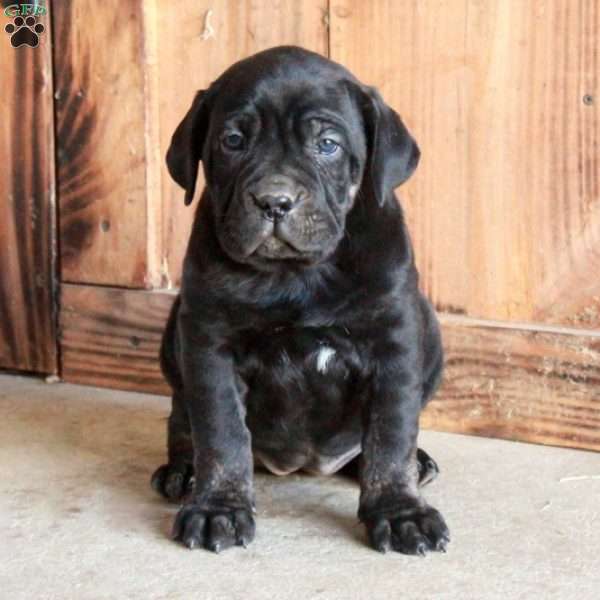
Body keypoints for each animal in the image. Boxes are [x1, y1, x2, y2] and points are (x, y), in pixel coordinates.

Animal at [152, 47, 448, 556]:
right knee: (182, 415)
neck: (297, 273)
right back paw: (183, 470)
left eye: (327, 144)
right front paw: (217, 508)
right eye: (233, 140)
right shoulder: (209, 342)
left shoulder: (395, 343)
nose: (274, 201)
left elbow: (391, 435)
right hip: (176, 334)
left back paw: (415, 463)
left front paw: (399, 512)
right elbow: (220, 431)